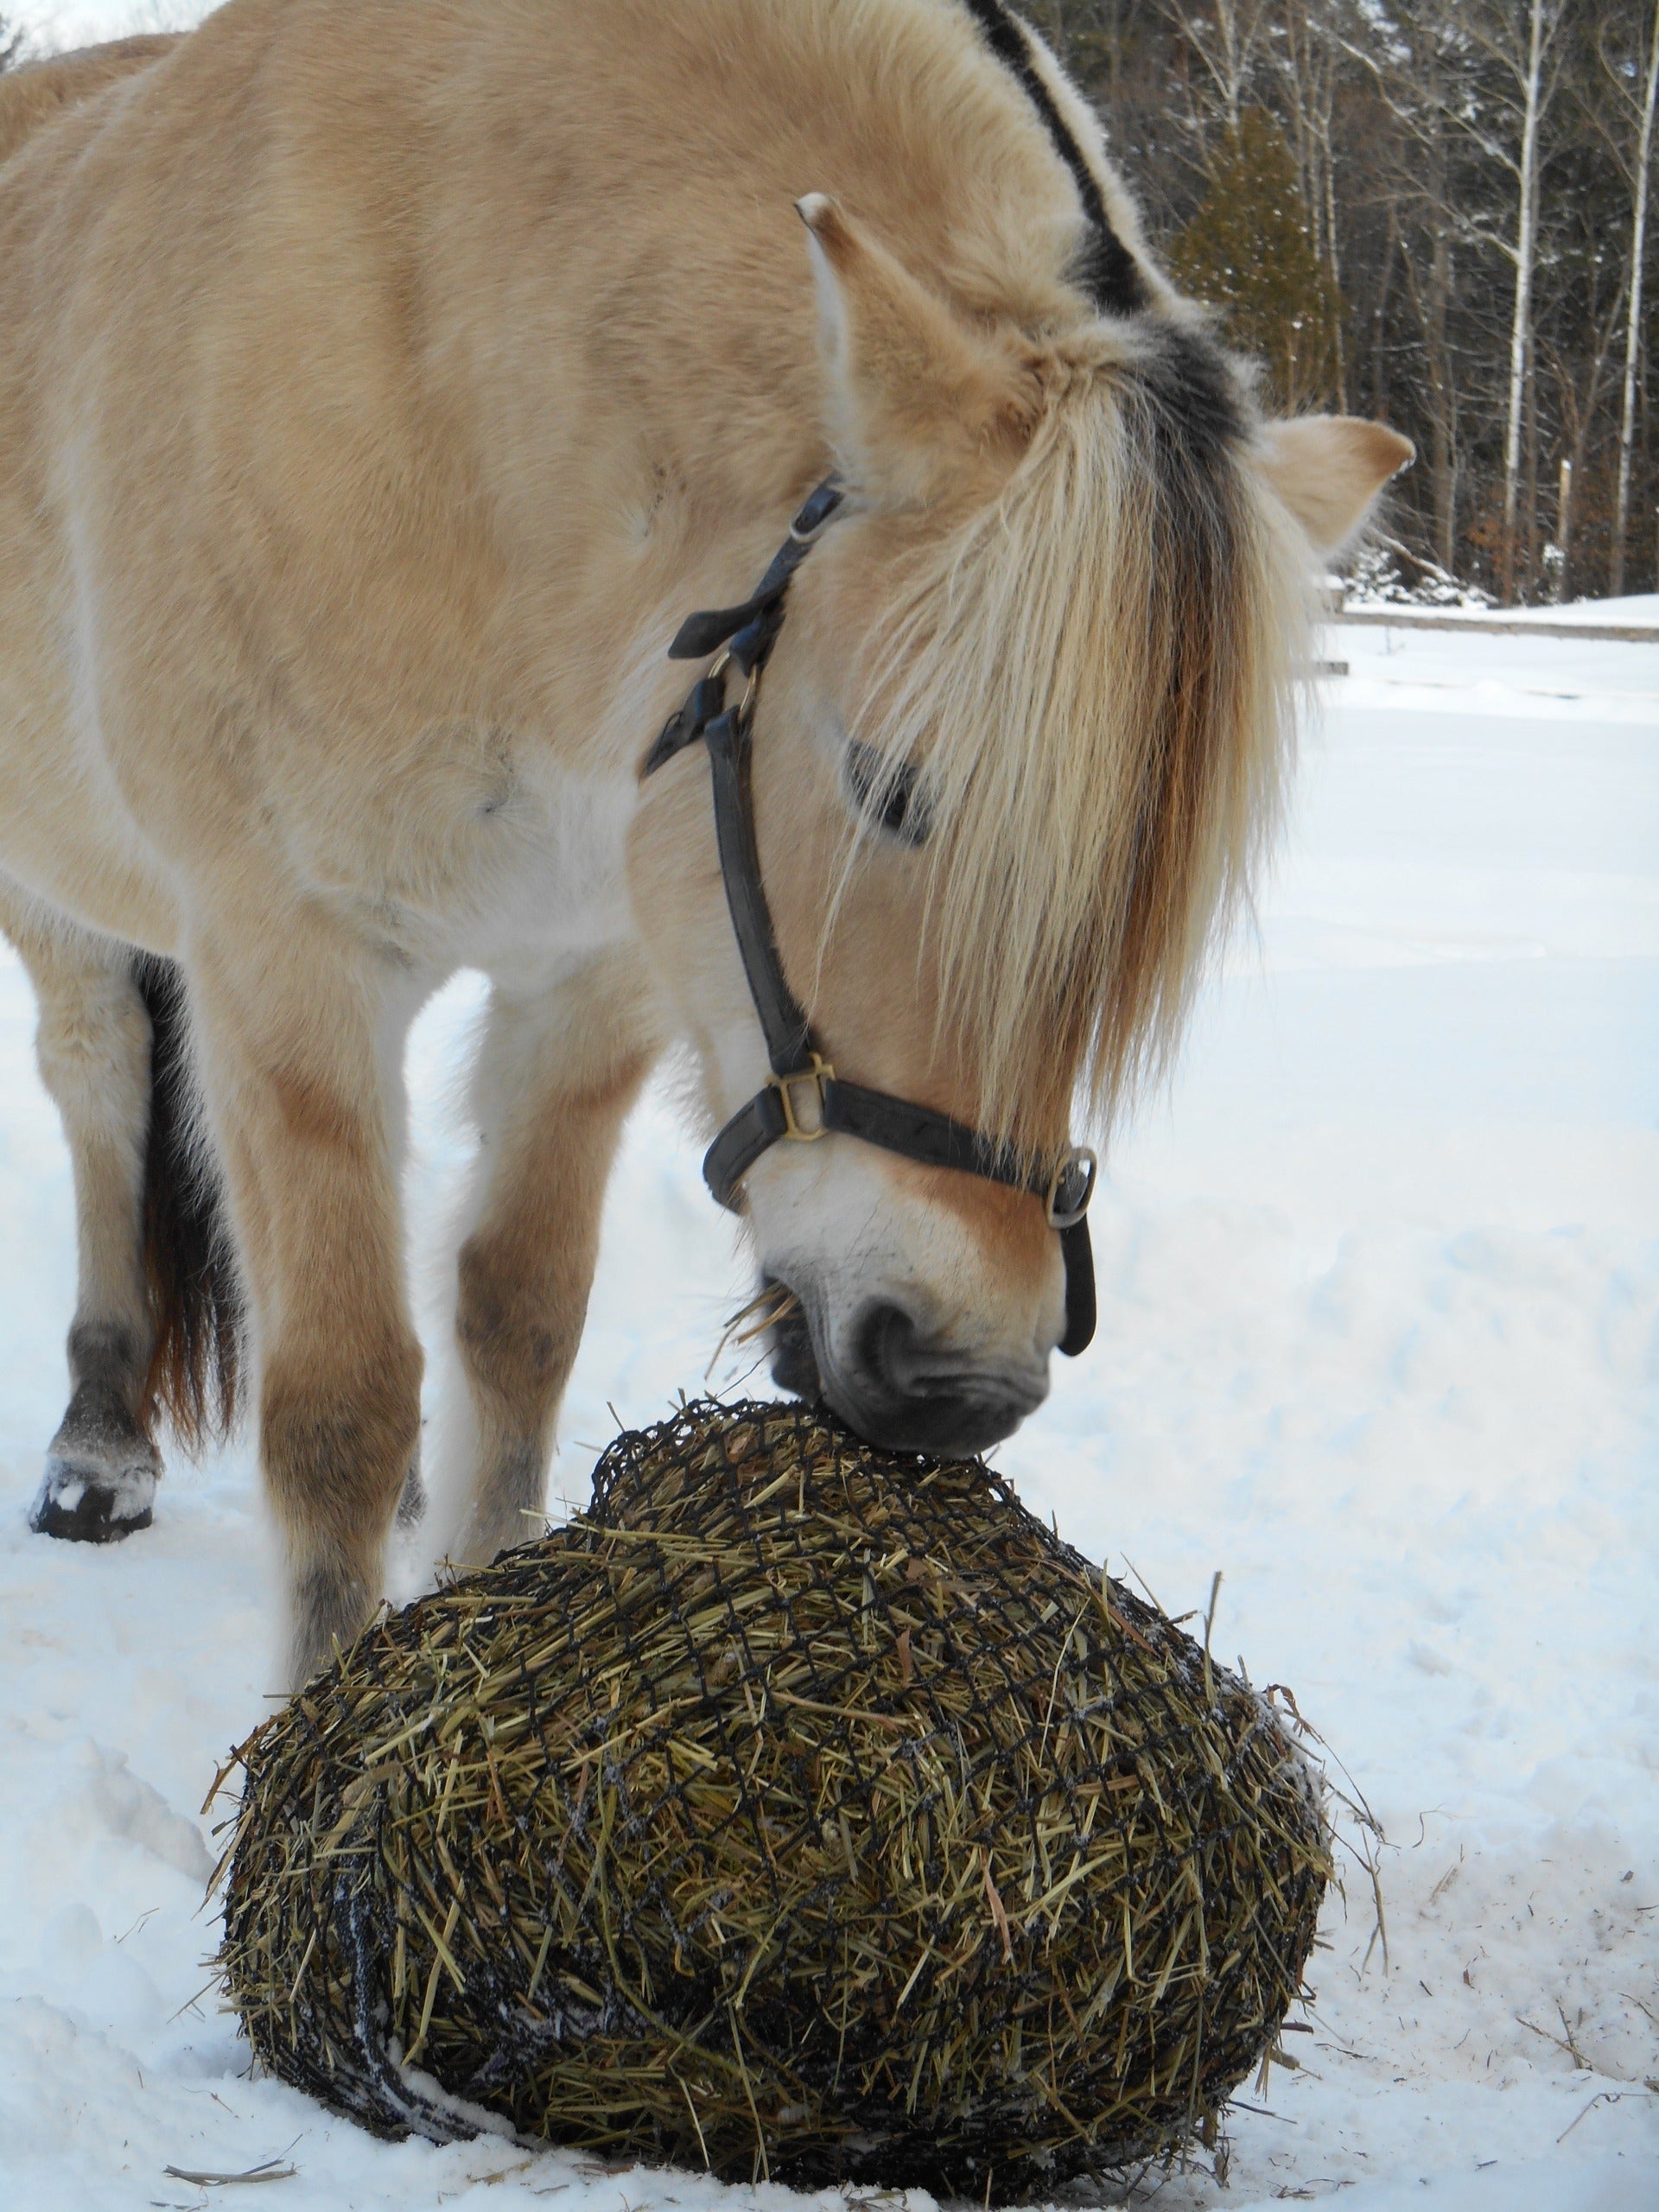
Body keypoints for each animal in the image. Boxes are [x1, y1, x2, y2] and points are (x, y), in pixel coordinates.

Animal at [0, 0, 1415, 1681]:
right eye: (889, 785)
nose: (960, 1378)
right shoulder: (288, 957)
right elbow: (334, 1407)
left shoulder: (594, 969)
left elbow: (519, 1322)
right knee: (99, 1089)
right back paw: (96, 1451)